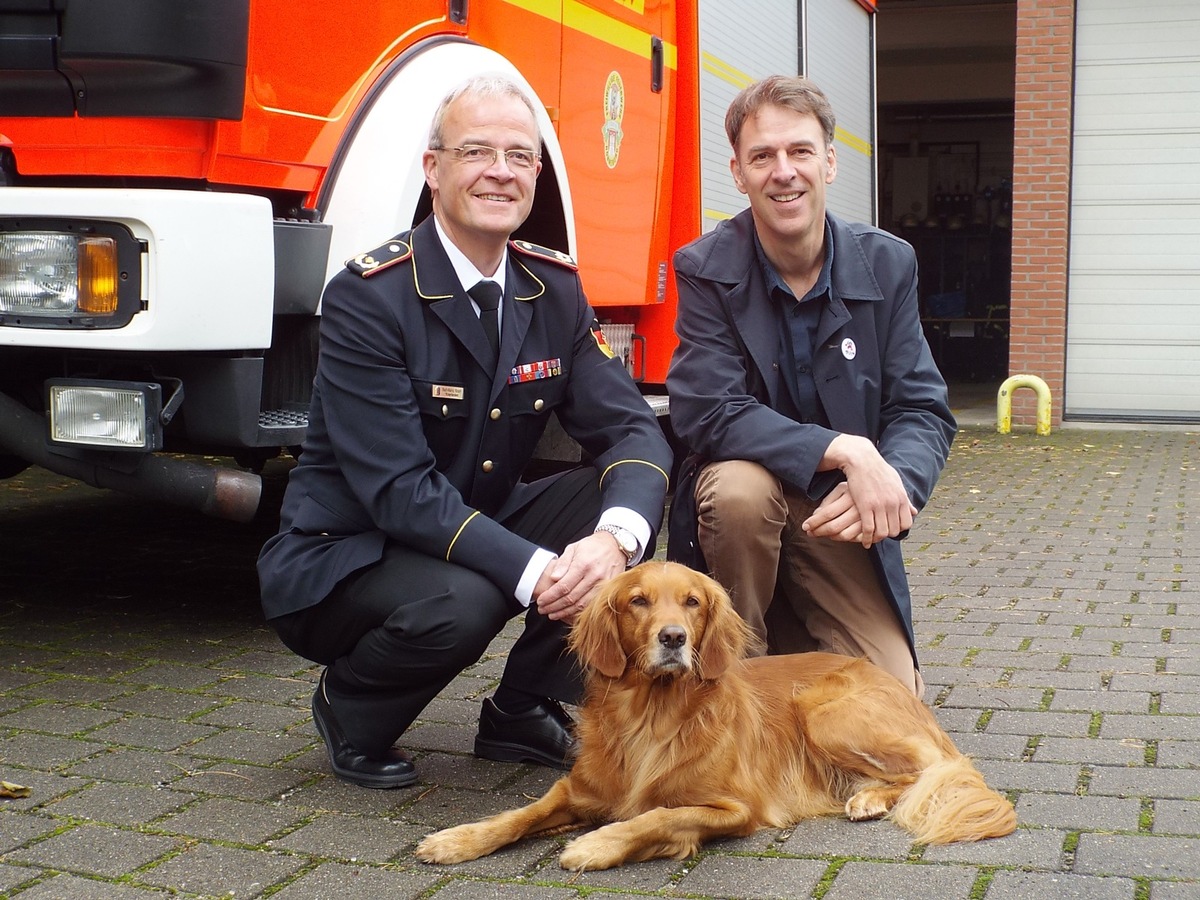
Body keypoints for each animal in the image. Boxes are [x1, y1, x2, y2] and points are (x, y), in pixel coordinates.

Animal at [412, 564, 1012, 873]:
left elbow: (658, 816)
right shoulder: (577, 791)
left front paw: (596, 844)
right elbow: (520, 814)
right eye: (637, 601)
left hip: (826, 714)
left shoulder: (735, 808)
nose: (673, 637)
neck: (653, 716)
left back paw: (869, 798)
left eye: (693, 602)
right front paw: (459, 839)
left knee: (933, 769)